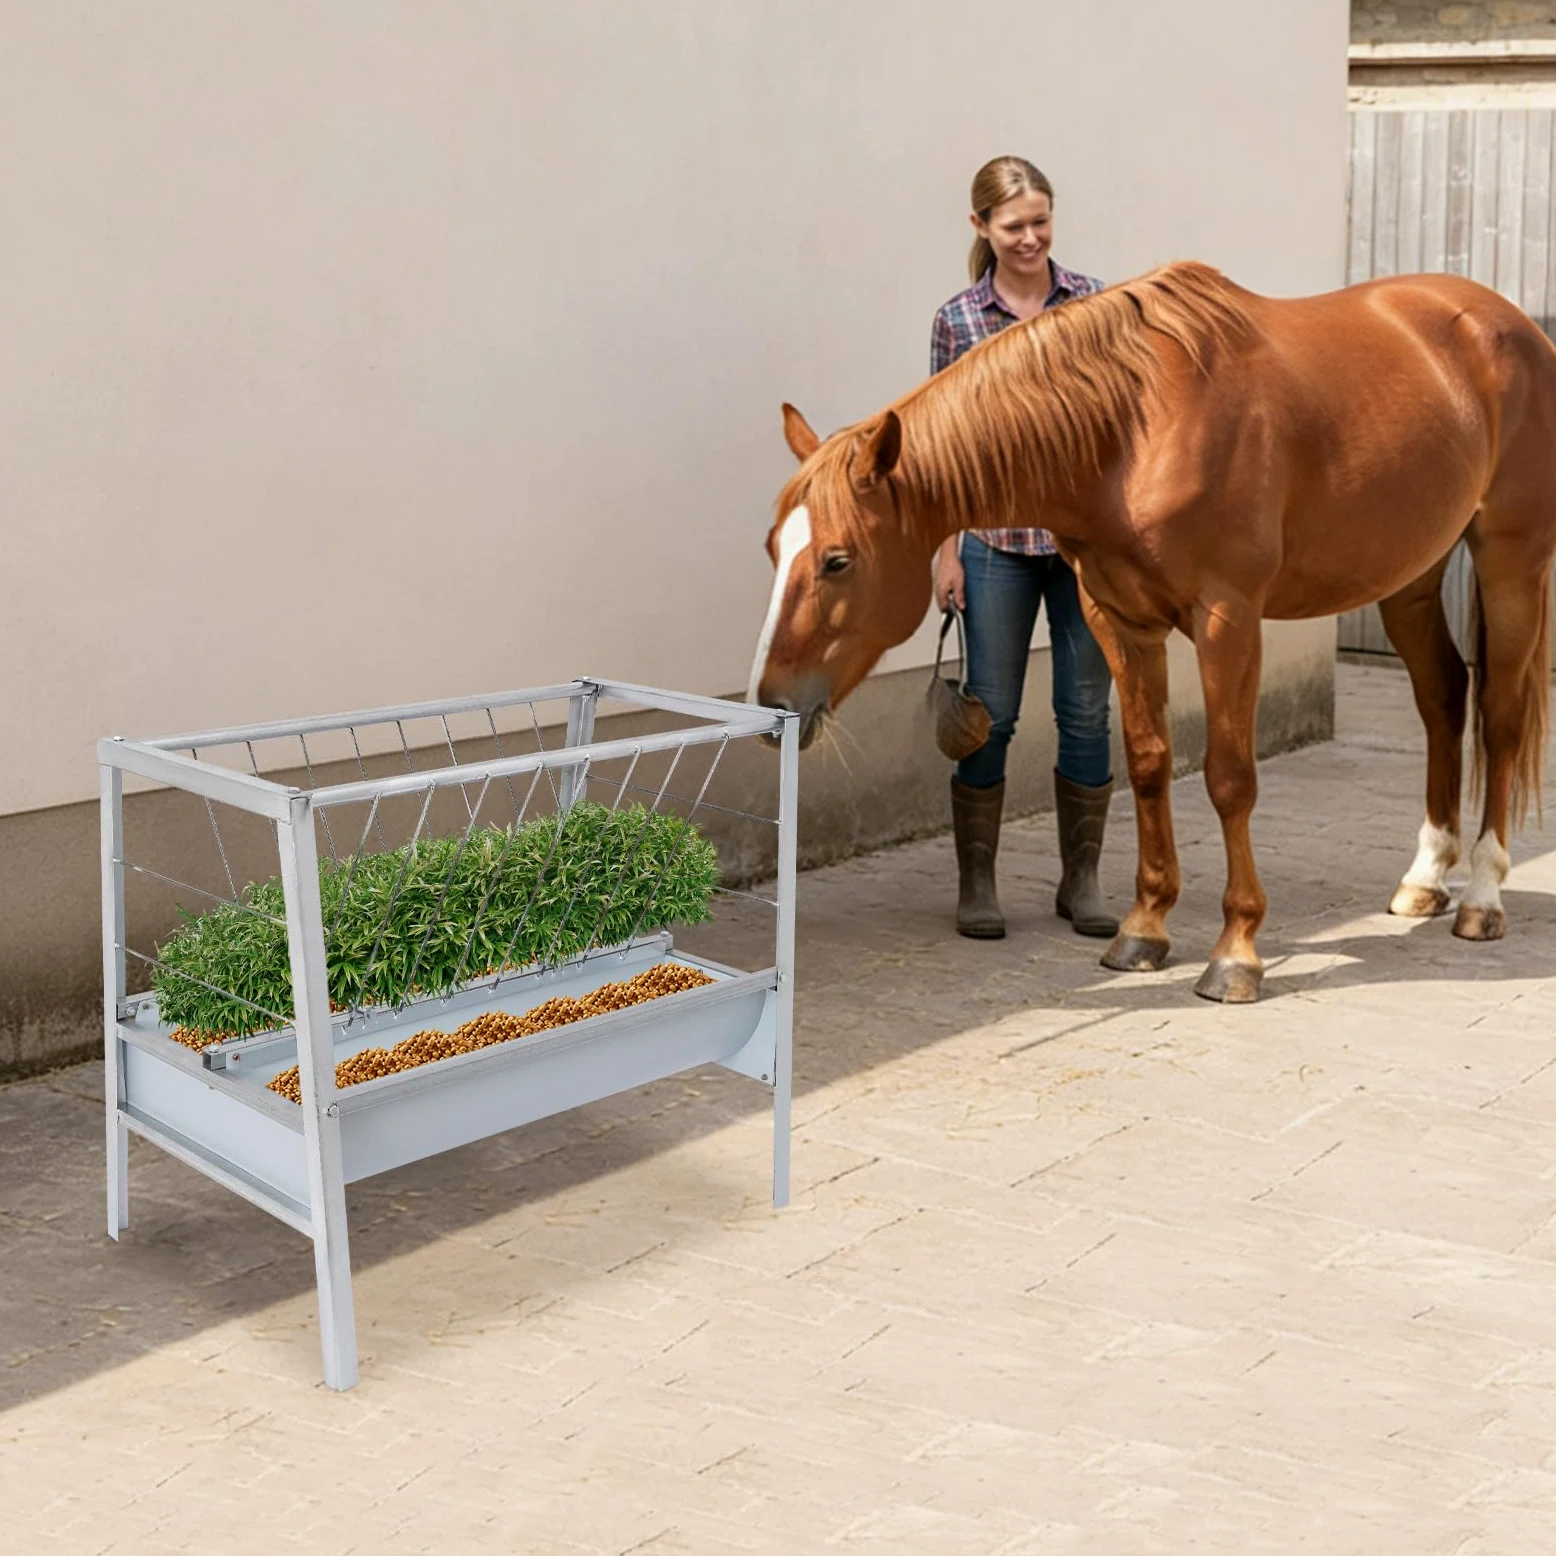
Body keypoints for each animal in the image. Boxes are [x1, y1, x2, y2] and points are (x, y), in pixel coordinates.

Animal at [749, 261, 1556, 1002]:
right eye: (773, 546)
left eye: (838, 559)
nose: (772, 705)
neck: (1134, 433)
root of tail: (1512, 323)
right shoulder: (1119, 621)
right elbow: (1145, 765)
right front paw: (1144, 930)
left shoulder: (1228, 620)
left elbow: (1230, 778)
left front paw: (1236, 951)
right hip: (1409, 573)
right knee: (1443, 696)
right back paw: (1425, 878)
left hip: (1509, 561)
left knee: (1500, 714)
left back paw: (1482, 896)